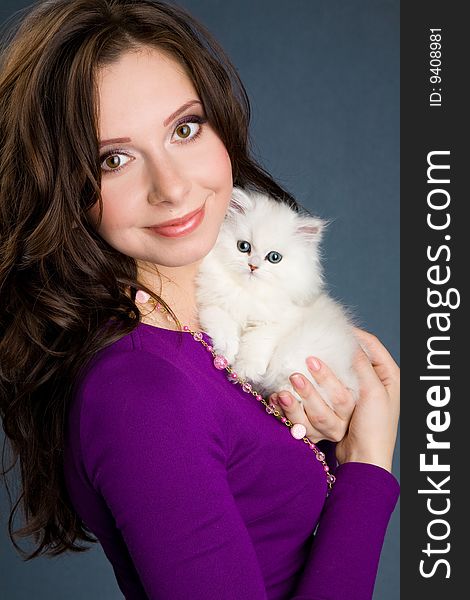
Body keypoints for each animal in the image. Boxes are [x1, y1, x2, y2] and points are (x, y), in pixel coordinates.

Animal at [195, 186, 360, 408]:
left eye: (274, 257)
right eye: (243, 247)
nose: (253, 266)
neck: (248, 293)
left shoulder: (277, 322)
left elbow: (256, 343)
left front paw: (244, 370)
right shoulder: (211, 303)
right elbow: (224, 326)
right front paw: (227, 351)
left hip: (299, 353)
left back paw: (286, 394)